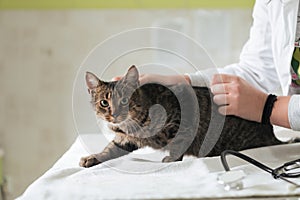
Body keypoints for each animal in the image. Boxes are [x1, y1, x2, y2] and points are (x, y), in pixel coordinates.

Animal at [79, 65, 284, 167]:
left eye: (124, 100)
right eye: (104, 103)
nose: (114, 114)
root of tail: (272, 134)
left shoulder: (182, 120)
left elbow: (179, 143)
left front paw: (172, 159)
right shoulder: (124, 139)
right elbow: (109, 149)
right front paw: (93, 157)